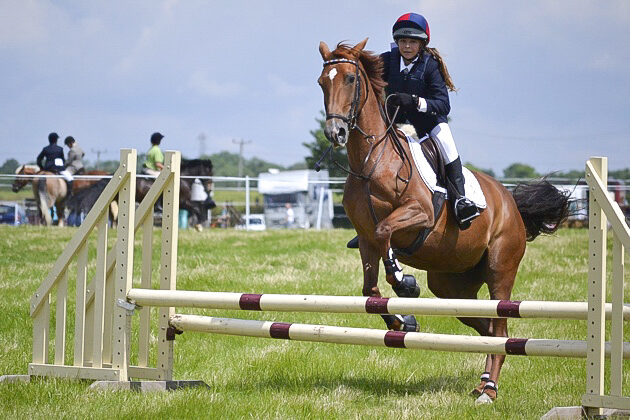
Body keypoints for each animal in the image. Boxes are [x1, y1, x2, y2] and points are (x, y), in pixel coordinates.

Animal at [318, 39, 572, 404]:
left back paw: (489, 390)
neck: (372, 161)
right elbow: (371, 289)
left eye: (351, 79)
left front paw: (405, 282)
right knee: (488, 329)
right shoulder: (364, 238)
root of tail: (510, 202)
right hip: (452, 286)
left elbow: (386, 232)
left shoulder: (418, 213)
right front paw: (402, 324)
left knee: (501, 325)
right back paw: (483, 381)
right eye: (322, 83)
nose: (335, 132)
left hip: (500, 270)